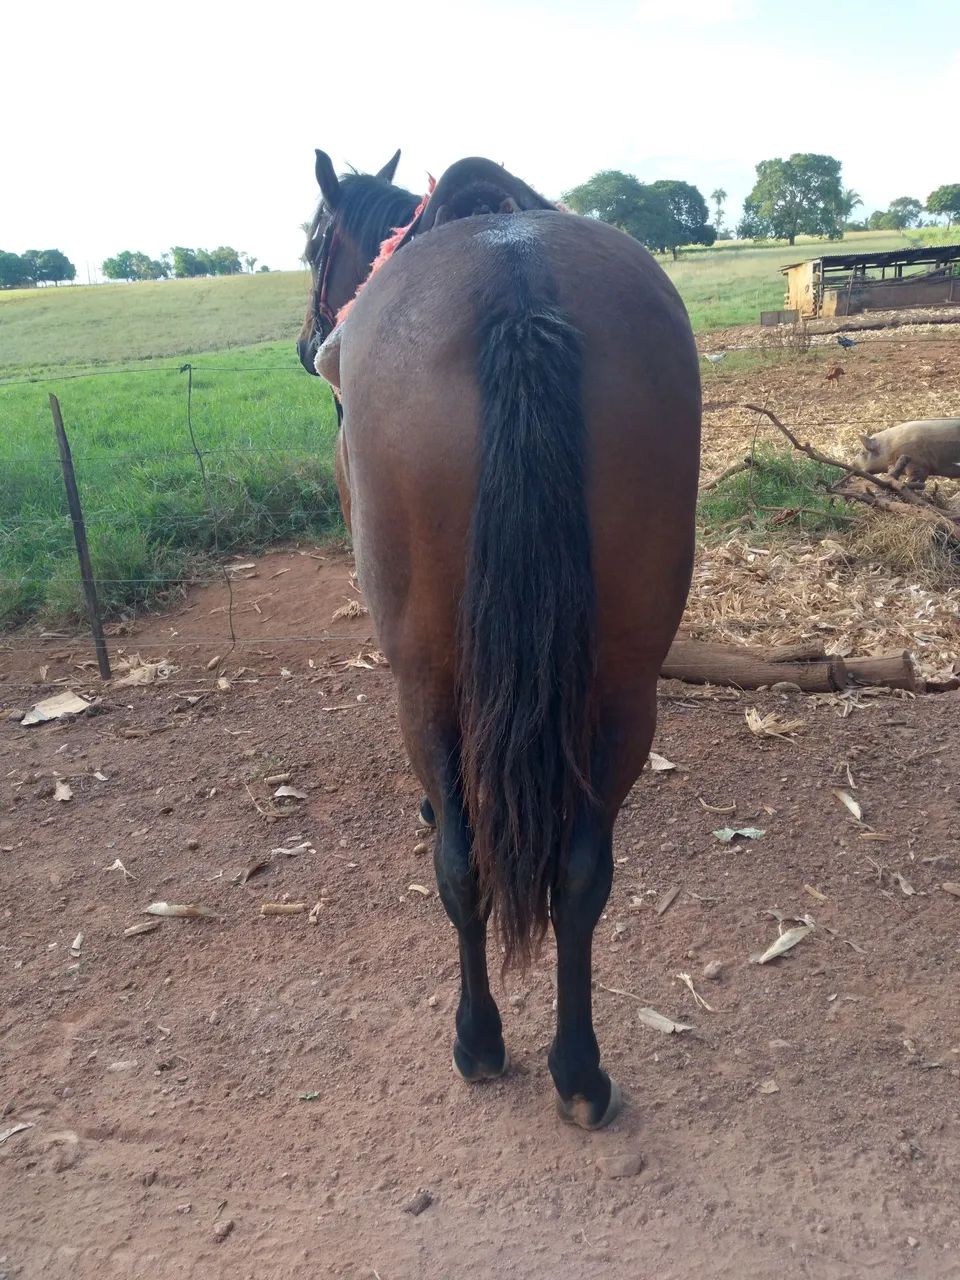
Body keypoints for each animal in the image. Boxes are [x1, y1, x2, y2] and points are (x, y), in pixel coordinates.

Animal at [298, 149, 701, 1130]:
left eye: (314, 242)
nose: (306, 340)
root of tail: (518, 285)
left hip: (424, 680)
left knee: (462, 862)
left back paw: (480, 1042)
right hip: (624, 683)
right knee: (582, 875)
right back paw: (580, 1073)